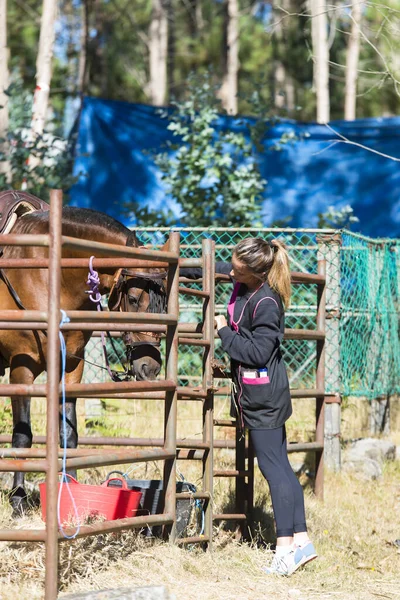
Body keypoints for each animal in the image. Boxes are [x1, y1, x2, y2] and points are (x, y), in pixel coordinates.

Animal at [0, 198, 167, 510]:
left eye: (164, 304)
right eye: (133, 298)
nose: (150, 366)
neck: (49, 276)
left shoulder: (71, 366)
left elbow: (69, 433)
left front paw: (69, 489)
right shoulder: (21, 368)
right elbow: (22, 436)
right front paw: (17, 499)